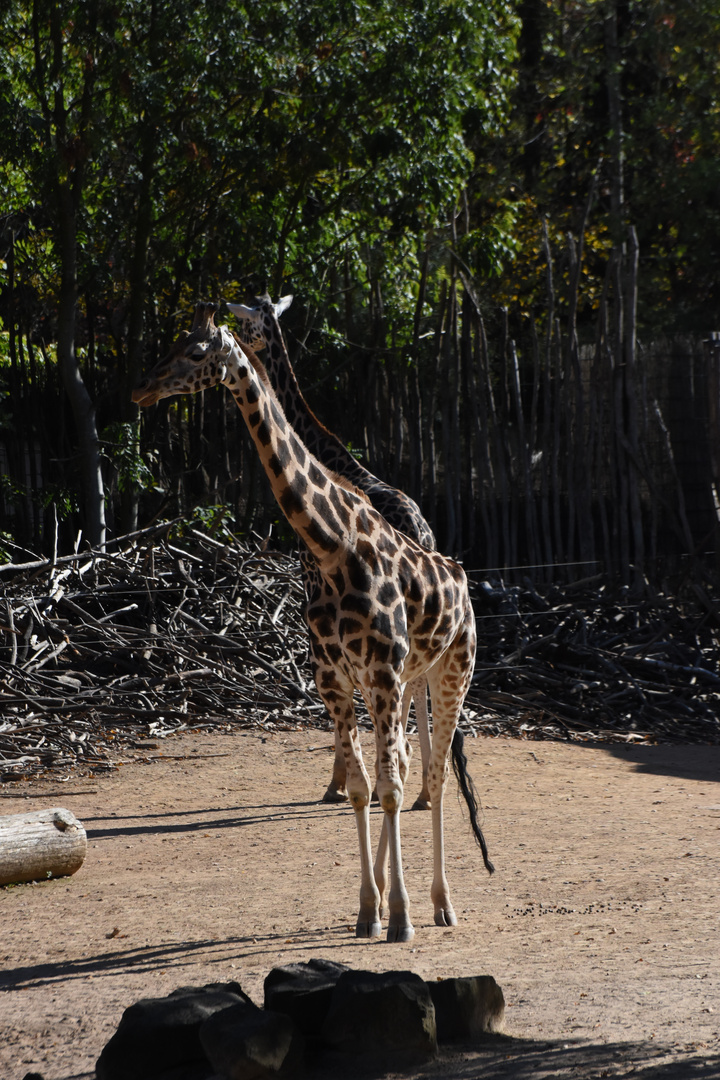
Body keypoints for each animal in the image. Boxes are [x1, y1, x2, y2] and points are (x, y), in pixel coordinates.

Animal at [227, 295, 433, 812]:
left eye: (247, 321)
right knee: (420, 681)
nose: (244, 344)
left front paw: (337, 784)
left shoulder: (315, 584)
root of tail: (423, 532)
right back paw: (423, 791)